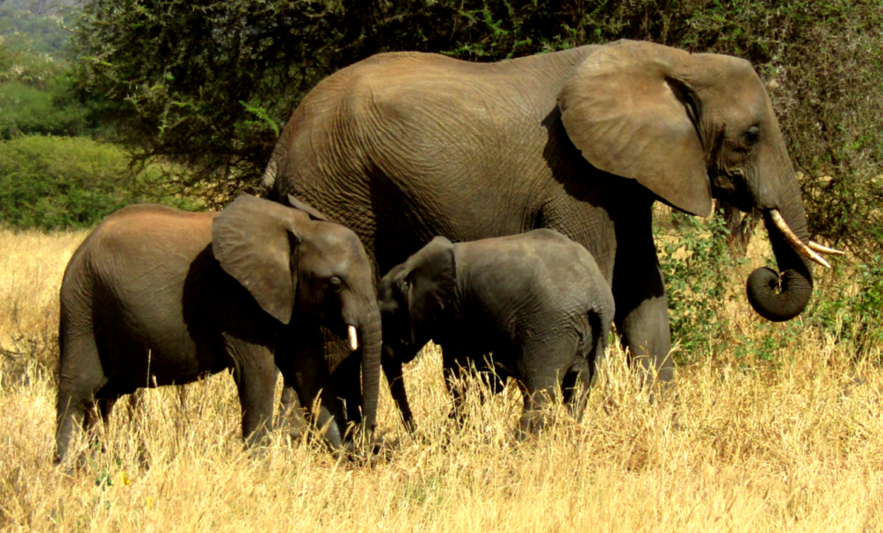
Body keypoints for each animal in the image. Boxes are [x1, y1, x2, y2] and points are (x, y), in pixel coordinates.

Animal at [55, 193, 380, 460]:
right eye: (335, 283)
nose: (366, 448)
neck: (294, 226)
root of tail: (81, 248)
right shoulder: (234, 294)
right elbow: (258, 371)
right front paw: (259, 465)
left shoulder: (289, 296)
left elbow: (309, 371)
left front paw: (342, 456)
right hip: (82, 306)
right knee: (76, 392)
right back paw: (66, 469)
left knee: (101, 401)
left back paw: (94, 462)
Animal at [378, 230, 616, 436]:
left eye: (388, 315)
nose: (417, 434)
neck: (412, 265)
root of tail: (594, 295)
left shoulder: (457, 318)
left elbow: (455, 374)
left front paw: (458, 429)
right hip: (585, 334)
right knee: (578, 389)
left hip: (551, 329)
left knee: (538, 389)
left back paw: (520, 443)